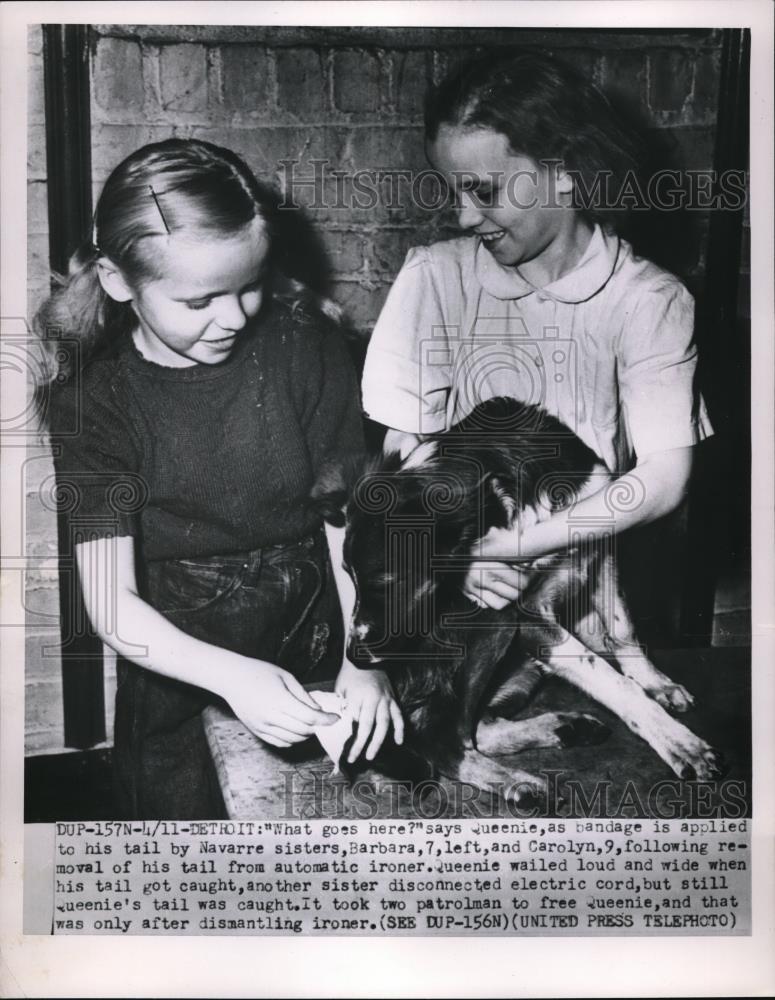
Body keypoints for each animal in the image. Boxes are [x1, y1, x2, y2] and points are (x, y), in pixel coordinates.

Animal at [314, 396, 720, 804]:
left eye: (386, 582)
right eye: (348, 576)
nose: (355, 658)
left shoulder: (600, 546)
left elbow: (624, 632)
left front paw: (656, 684)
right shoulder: (528, 614)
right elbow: (611, 680)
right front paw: (679, 742)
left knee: (477, 728)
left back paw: (563, 728)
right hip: (494, 621)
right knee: (442, 737)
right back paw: (521, 784)